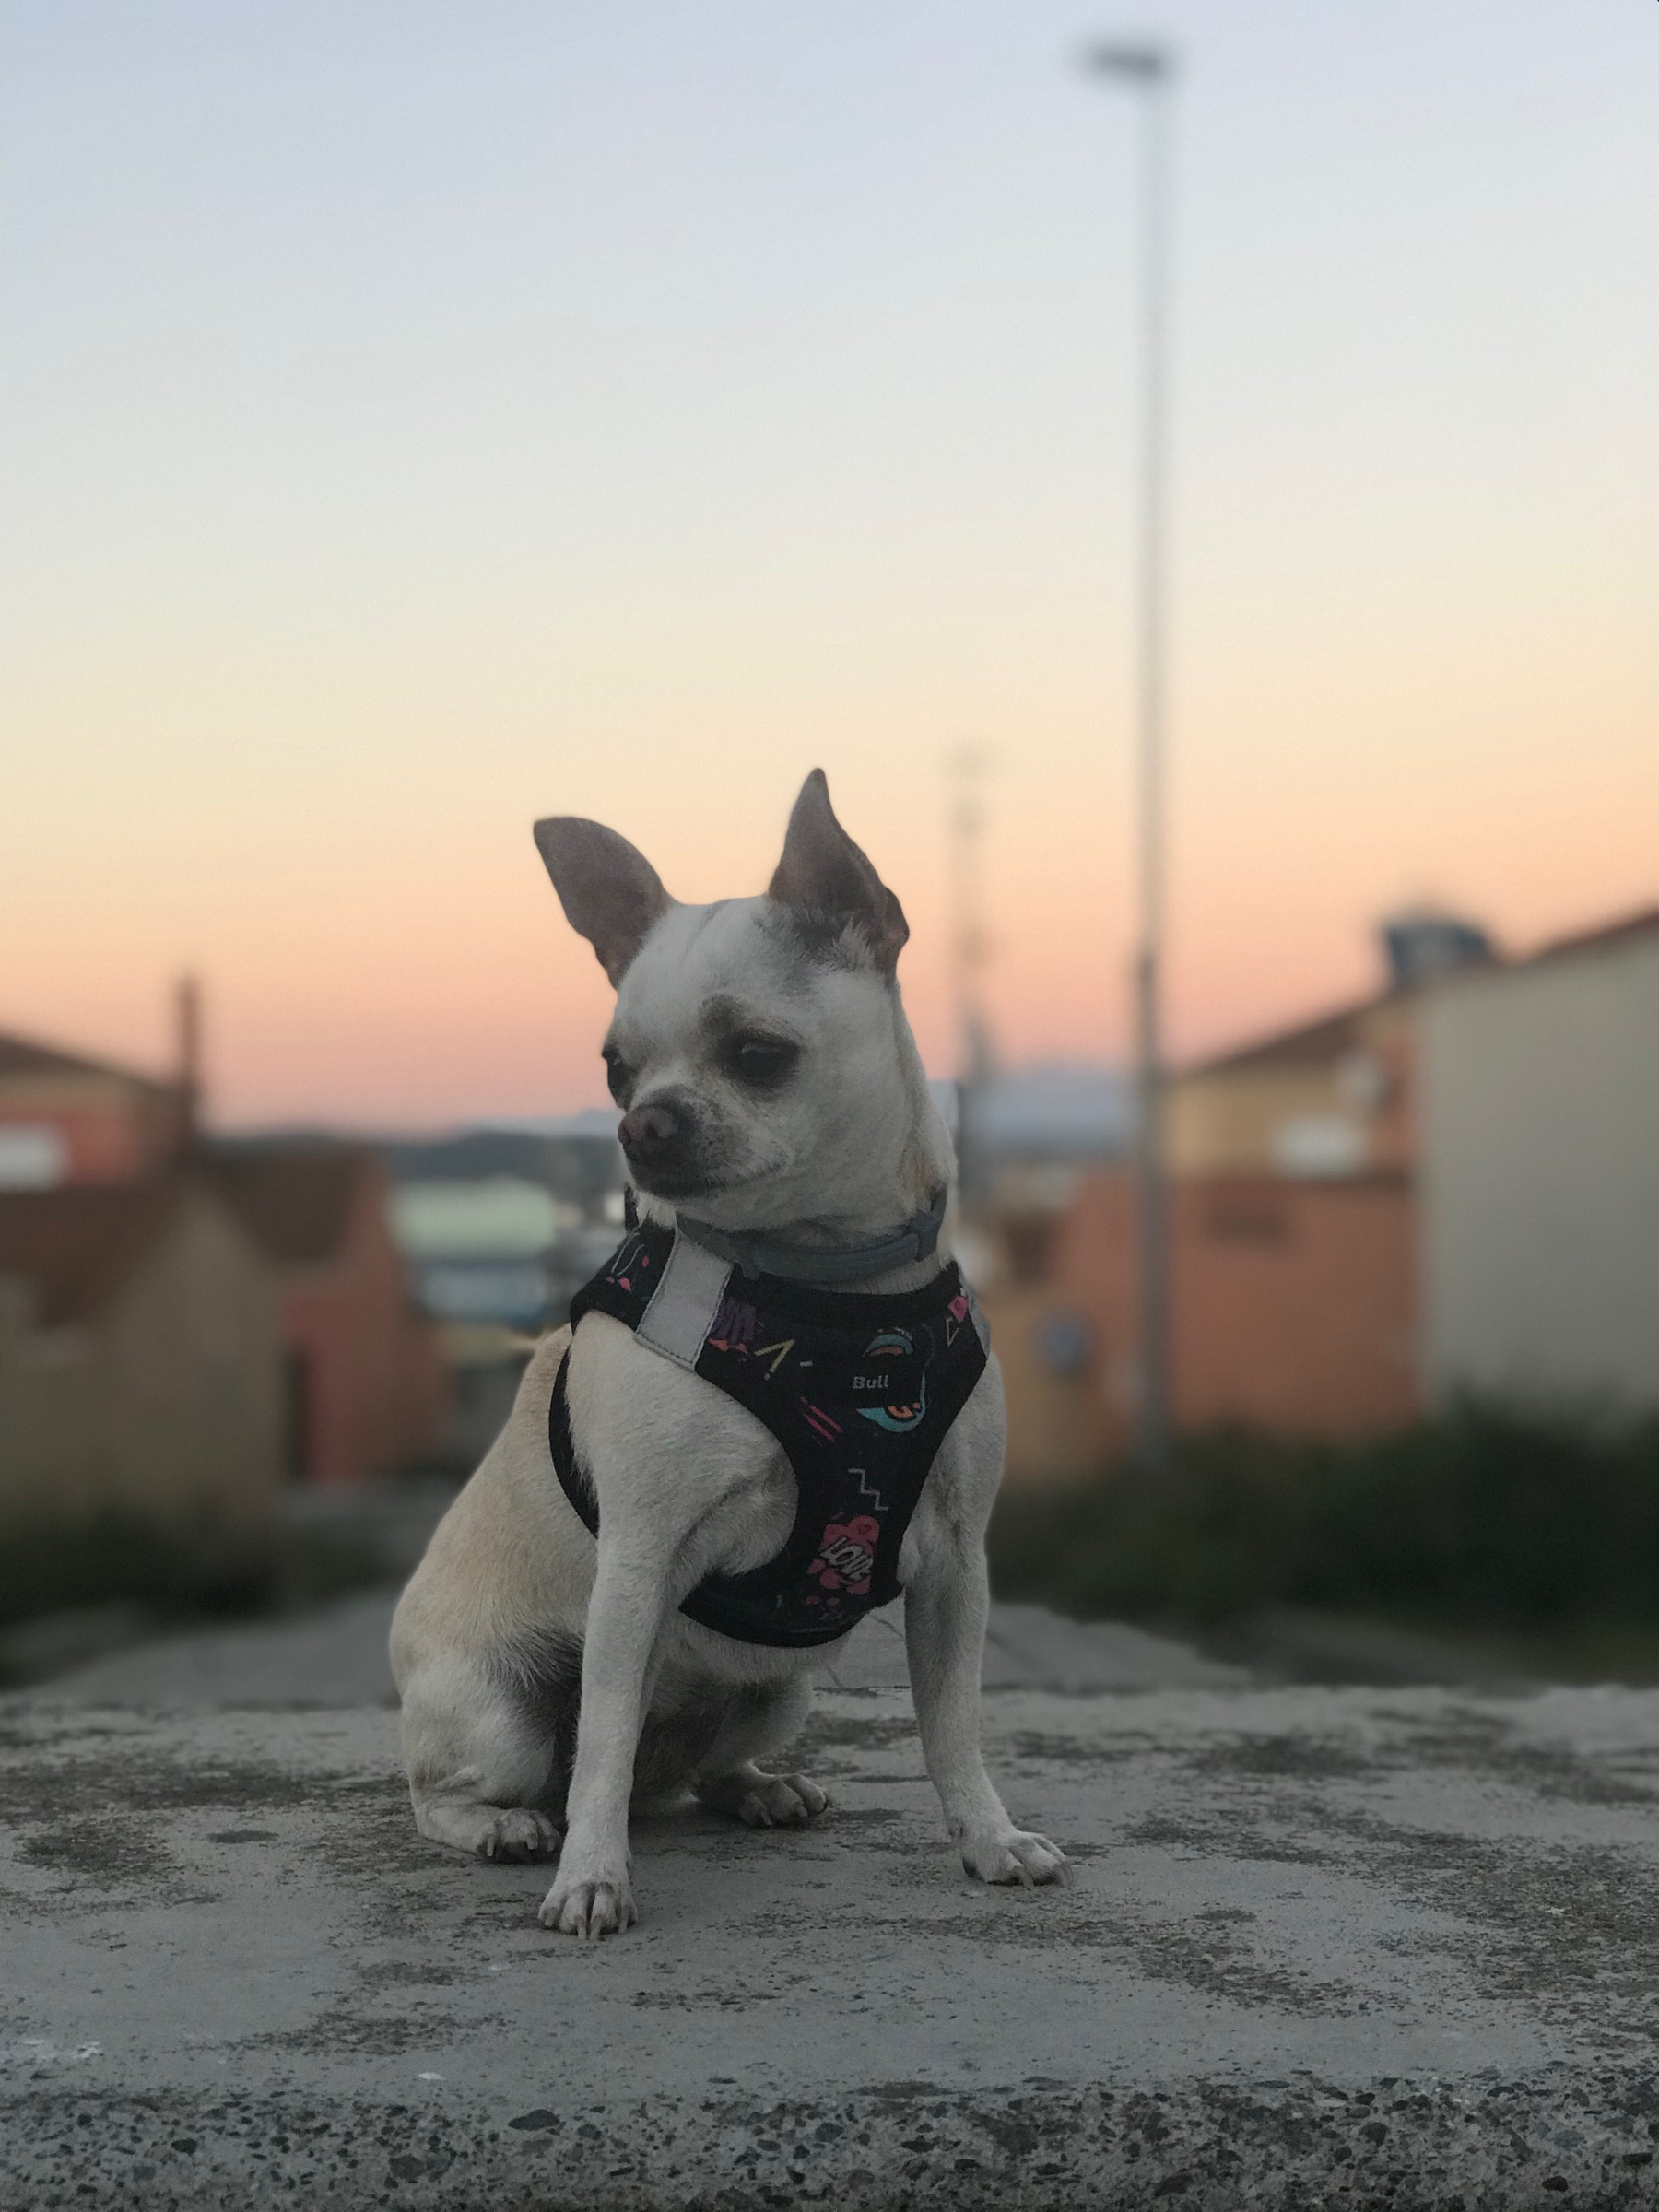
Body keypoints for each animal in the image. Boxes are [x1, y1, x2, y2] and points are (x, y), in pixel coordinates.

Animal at [390, 769, 1067, 1938]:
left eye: (757, 1055)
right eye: (615, 1072)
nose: (642, 1124)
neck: (829, 1294)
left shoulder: (955, 1567)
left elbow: (953, 1724)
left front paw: (987, 1838)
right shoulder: (639, 1566)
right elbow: (604, 1745)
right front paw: (592, 1879)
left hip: (775, 1689)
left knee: (688, 1772)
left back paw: (757, 1788)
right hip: (502, 1711)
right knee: (495, 1782)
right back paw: (508, 1828)